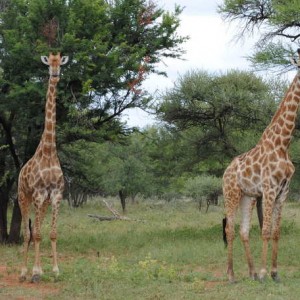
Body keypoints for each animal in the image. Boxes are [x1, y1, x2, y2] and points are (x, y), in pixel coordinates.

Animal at [221, 48, 300, 282]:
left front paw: (274, 273)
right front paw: (266, 273)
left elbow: (276, 232)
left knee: (244, 231)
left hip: (247, 196)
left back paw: (252, 273)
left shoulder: (283, 191)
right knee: (229, 229)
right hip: (231, 194)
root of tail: (225, 172)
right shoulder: (269, 188)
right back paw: (232, 275)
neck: (283, 143)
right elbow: (265, 231)